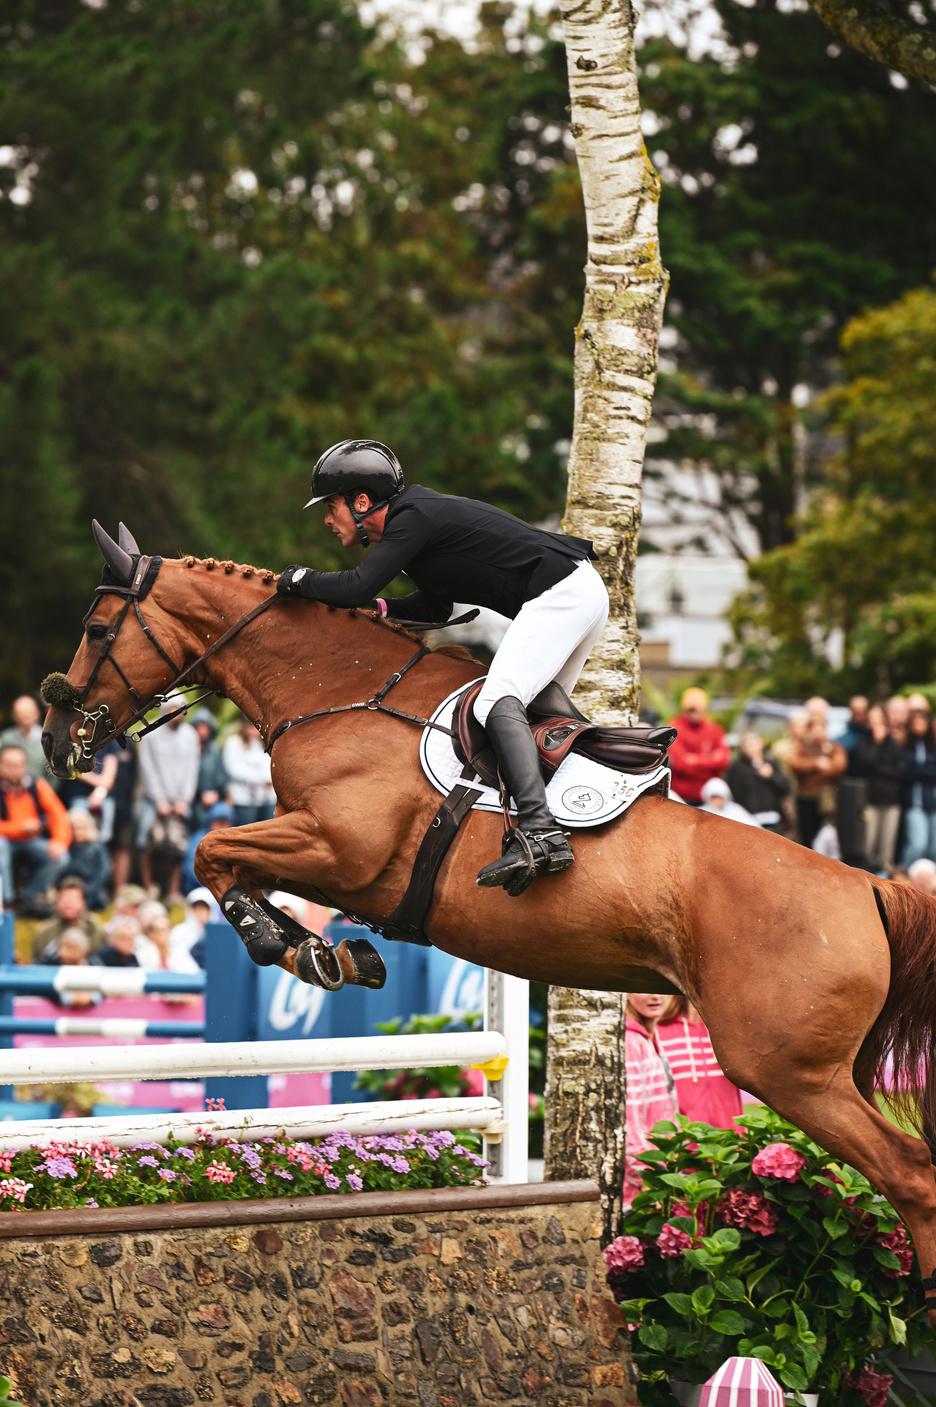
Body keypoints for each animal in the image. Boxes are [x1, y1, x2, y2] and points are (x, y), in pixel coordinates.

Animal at [40, 529, 934, 1316]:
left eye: (96, 628)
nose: (54, 739)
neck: (334, 691)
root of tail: (867, 886)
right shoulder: (319, 852)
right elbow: (227, 862)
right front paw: (328, 952)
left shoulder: (339, 848)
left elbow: (210, 850)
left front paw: (292, 946)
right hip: (830, 1071)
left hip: (787, 1069)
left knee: (911, 1172)